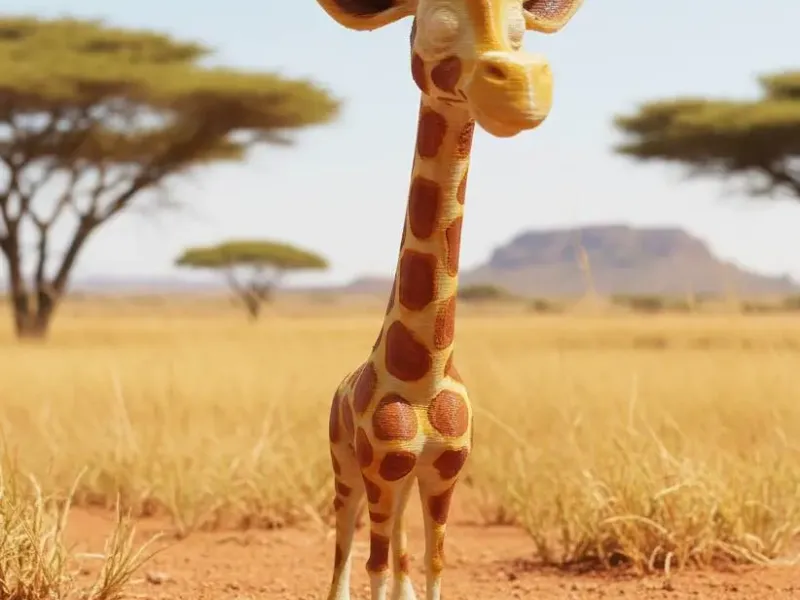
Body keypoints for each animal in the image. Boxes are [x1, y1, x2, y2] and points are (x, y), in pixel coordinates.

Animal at [318, 1, 584, 598]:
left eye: (520, 30)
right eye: (437, 21)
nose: (524, 87)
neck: (424, 376)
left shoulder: (443, 471)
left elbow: (435, 559)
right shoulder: (381, 467)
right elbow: (371, 564)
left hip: (397, 481)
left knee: (399, 546)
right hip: (346, 465)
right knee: (345, 544)